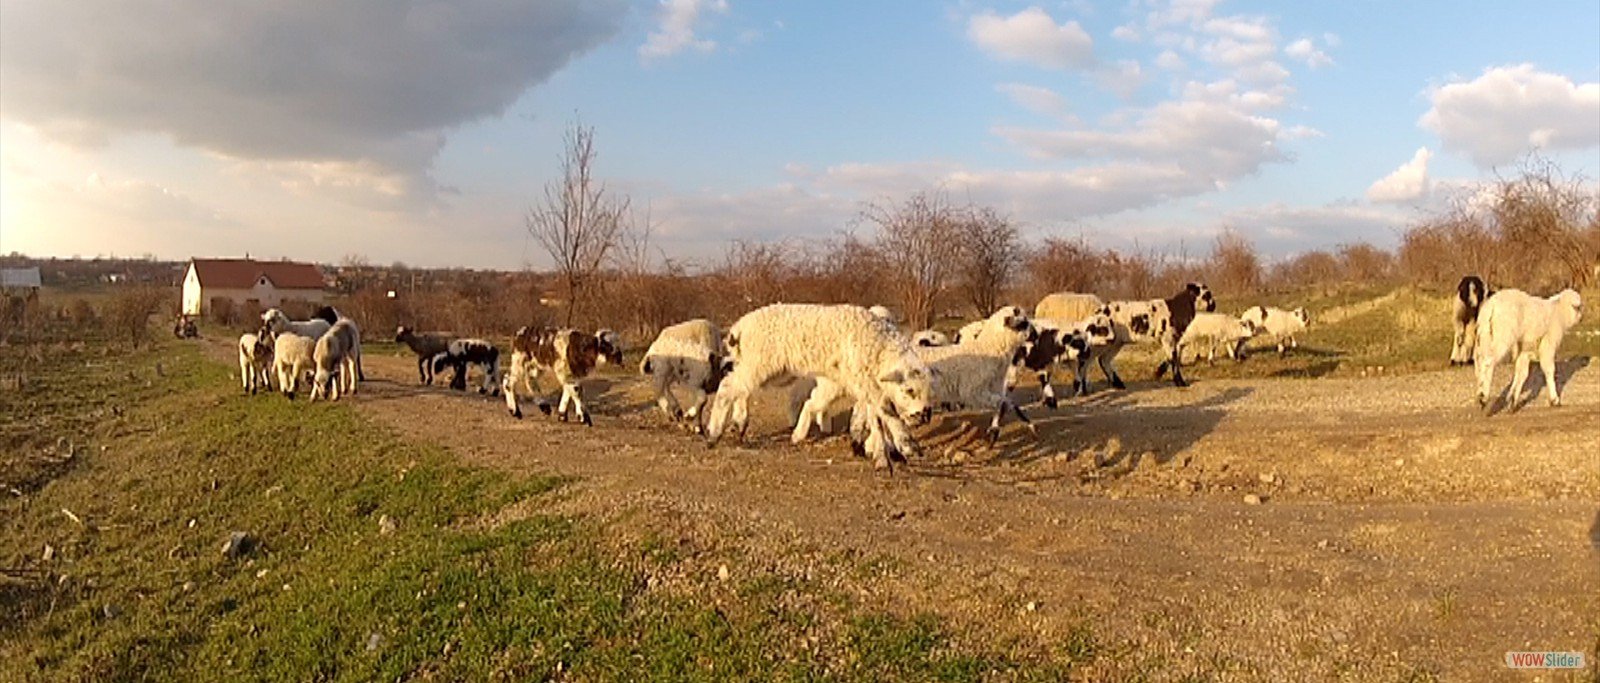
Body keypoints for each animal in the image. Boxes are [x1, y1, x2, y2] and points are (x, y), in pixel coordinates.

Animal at [704, 305, 934, 470]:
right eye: (910, 391)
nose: (924, 416)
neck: (878, 347)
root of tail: (738, 328)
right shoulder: (865, 382)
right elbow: (885, 410)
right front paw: (905, 446)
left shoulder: (865, 384)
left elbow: (875, 416)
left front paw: (885, 451)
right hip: (758, 361)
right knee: (727, 386)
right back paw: (714, 433)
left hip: (762, 366)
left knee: (740, 388)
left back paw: (741, 422)